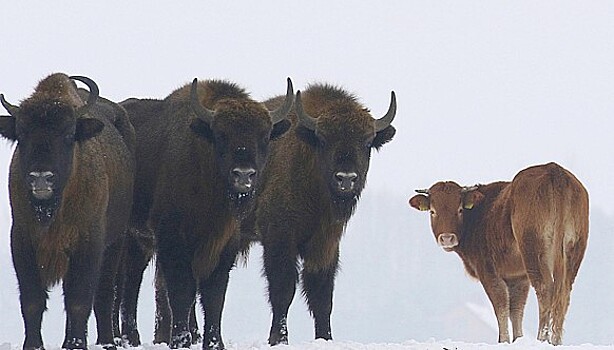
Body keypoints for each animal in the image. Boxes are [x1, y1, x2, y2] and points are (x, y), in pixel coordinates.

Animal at [120, 78, 296, 348]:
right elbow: (182, 291)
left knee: (130, 282)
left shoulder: (225, 245)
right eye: (221, 135)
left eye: (265, 136)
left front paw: (215, 342)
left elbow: (214, 296)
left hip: (139, 241)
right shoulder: (173, 240)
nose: (243, 175)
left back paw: (130, 338)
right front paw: (180, 340)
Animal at [251, 84, 400, 344]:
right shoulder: (279, 238)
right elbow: (283, 289)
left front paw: (325, 338)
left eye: (367, 141)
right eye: (324, 139)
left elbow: (321, 296)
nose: (346, 179)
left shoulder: (326, 244)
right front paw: (279, 339)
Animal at [412, 163, 588, 346]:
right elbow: (516, 309)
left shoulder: (489, 271)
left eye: (459, 209)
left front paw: (503, 340)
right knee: (564, 293)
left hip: (534, 252)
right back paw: (556, 341)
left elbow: (501, 305)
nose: (447, 238)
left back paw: (542, 338)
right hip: (573, 252)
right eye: (432, 211)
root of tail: (554, 171)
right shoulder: (518, 277)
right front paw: (518, 339)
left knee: (545, 289)